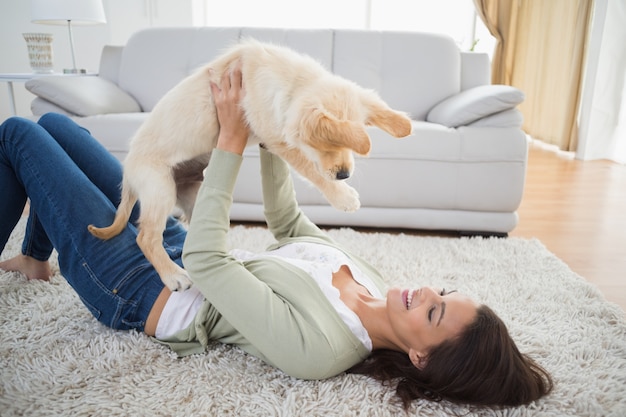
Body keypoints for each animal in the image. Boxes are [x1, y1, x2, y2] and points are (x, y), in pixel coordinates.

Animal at [86, 40, 410, 290]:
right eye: (324, 147)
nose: (344, 174)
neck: (292, 83)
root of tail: (128, 170)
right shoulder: (278, 139)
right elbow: (309, 169)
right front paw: (343, 197)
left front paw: (400, 123)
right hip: (159, 187)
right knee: (146, 237)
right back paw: (173, 275)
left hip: (193, 193)